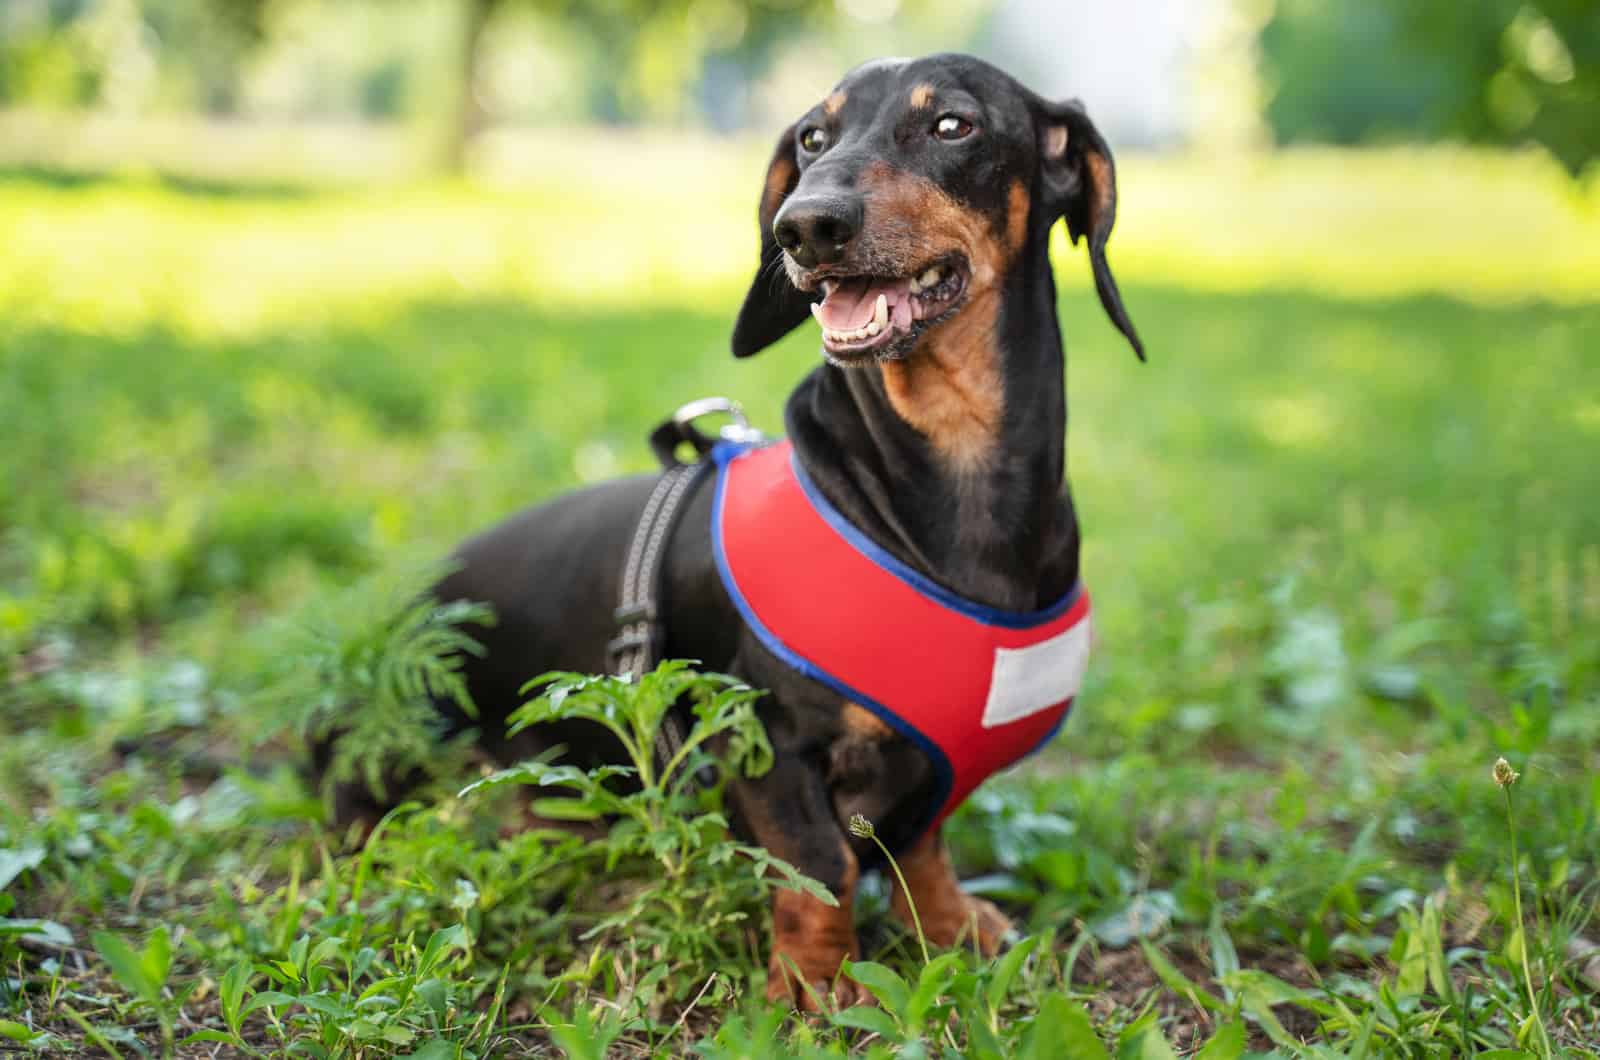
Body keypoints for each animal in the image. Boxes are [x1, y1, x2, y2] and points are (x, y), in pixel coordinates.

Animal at [347, 54, 1139, 1011]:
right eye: (812, 137)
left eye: (954, 125)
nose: (806, 227)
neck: (952, 479)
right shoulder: (767, 737)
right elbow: (819, 864)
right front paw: (814, 980)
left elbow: (919, 845)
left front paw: (948, 925)